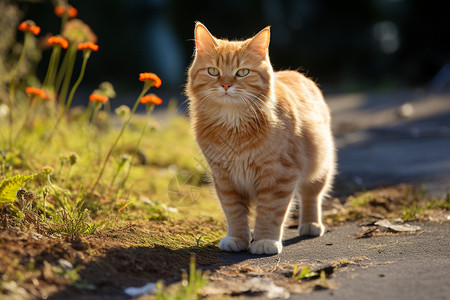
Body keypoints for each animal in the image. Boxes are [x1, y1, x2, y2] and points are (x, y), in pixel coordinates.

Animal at [185, 22, 336, 254]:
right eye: (213, 71)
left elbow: (269, 213)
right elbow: (234, 213)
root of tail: (298, 74)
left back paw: (310, 224)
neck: (233, 126)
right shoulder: (224, 179)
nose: (226, 85)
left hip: (320, 169)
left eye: (242, 72)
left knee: (311, 196)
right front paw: (238, 238)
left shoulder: (279, 176)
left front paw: (265, 241)